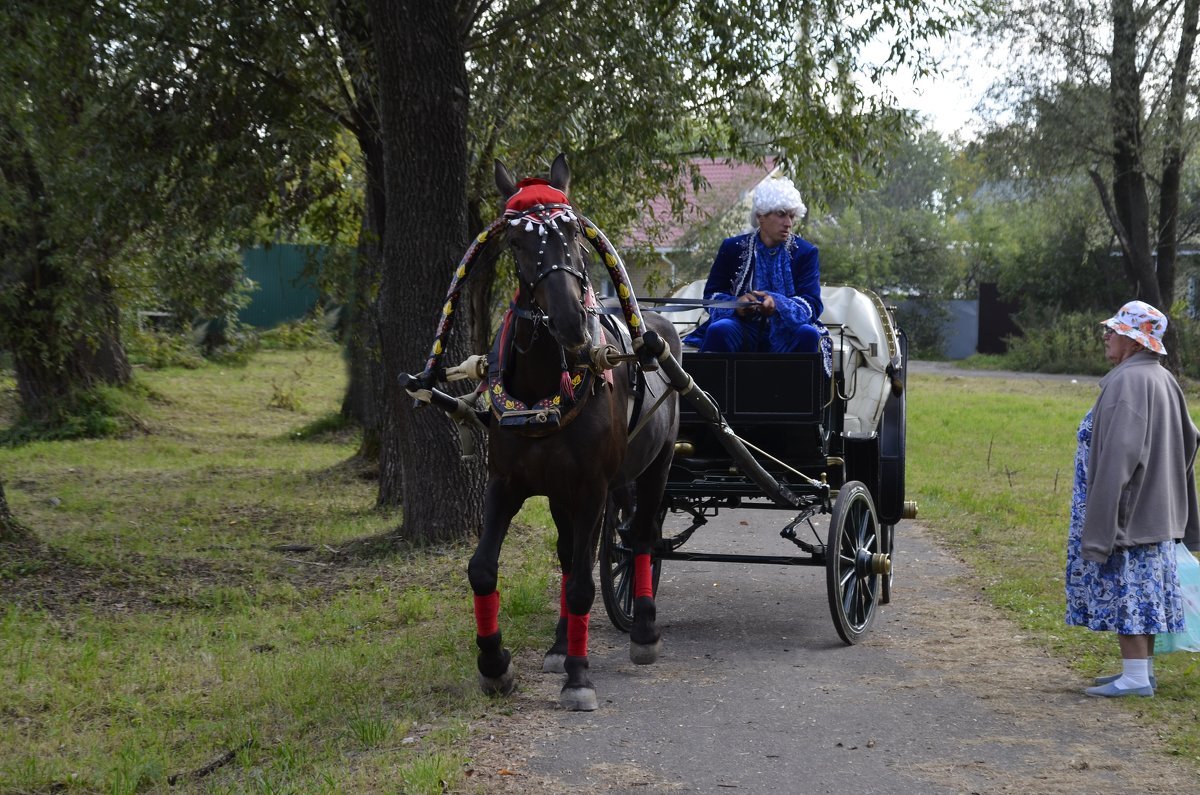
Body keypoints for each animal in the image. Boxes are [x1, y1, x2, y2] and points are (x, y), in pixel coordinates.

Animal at [465, 153, 681, 710]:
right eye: (516, 241)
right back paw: (561, 644)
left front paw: (579, 677)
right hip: (562, 491)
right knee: (568, 556)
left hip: (657, 465)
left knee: (642, 537)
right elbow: (483, 569)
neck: (542, 391)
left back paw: (643, 632)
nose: (569, 323)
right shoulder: (507, 484)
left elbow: (585, 581)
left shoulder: (592, 489)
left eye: (572, 233)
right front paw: (495, 664)